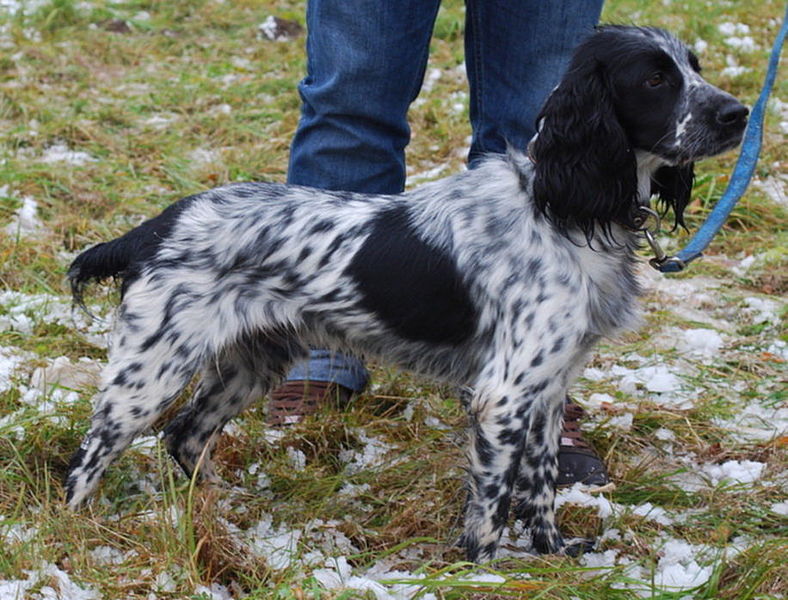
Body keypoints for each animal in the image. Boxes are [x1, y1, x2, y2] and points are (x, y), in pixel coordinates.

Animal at [64, 27, 748, 564]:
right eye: (655, 79)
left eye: (694, 67)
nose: (738, 113)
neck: (565, 209)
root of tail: (156, 226)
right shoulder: (503, 395)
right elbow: (493, 503)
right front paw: (483, 570)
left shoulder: (550, 389)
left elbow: (542, 486)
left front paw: (556, 555)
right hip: (147, 374)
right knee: (89, 457)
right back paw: (73, 530)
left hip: (249, 366)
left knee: (185, 437)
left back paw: (214, 510)